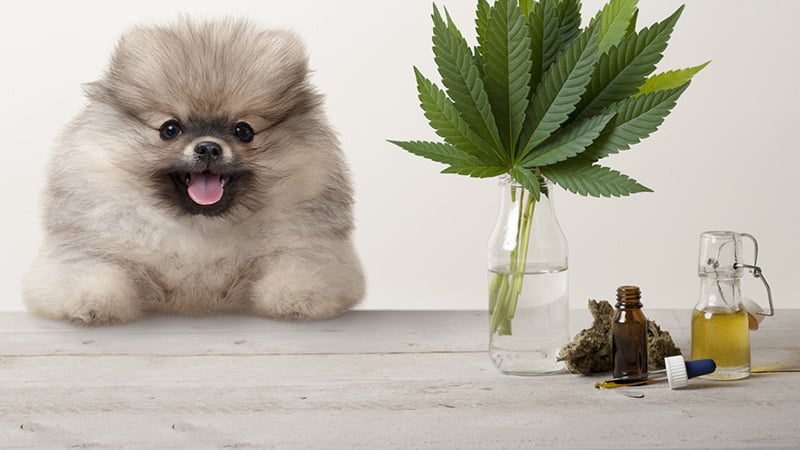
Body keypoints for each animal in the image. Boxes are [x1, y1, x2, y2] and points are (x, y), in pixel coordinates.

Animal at [21, 19, 366, 326]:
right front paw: (92, 303)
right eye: (170, 129)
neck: (200, 231)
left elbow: (300, 270)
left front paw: (296, 298)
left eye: (244, 130)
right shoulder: (89, 249)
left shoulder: (306, 248)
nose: (209, 148)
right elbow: (93, 272)